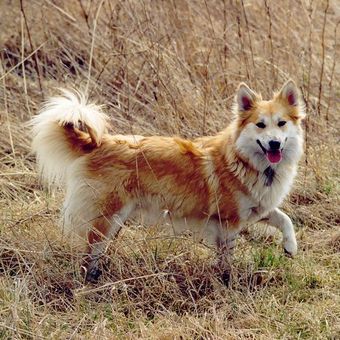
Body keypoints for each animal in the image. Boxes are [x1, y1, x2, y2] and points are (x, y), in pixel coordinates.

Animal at [30, 79, 304, 282]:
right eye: (260, 125)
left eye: (281, 123)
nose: (274, 143)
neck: (247, 161)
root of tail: (98, 143)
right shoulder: (228, 222)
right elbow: (227, 257)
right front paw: (227, 280)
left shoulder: (257, 208)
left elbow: (284, 218)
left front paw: (290, 247)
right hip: (106, 218)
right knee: (89, 253)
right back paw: (91, 281)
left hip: (114, 220)